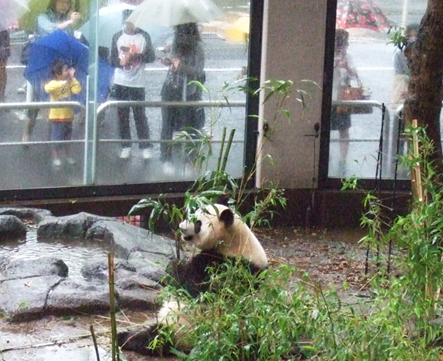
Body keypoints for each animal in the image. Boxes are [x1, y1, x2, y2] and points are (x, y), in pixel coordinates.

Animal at [118, 202, 268, 354]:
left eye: (198, 223)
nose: (181, 227)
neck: (235, 242)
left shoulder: (230, 267)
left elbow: (195, 289)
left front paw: (174, 266)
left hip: (182, 328)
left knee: (156, 338)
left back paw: (126, 338)